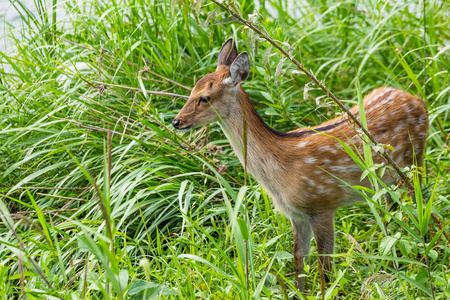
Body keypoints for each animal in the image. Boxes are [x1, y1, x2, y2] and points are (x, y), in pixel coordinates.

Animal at [172, 38, 428, 294]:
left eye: (205, 97)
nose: (176, 122)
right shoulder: (295, 214)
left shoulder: (322, 204)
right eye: (191, 91)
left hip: (413, 163)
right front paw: (300, 292)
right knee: (390, 212)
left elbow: (325, 267)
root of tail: (418, 100)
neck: (279, 172)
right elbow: (299, 262)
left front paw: (327, 293)